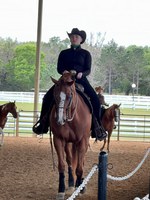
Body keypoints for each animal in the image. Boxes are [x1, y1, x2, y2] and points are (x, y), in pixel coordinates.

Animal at [49, 72, 91, 200]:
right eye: (55, 95)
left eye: (69, 95)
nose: (59, 119)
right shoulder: (58, 140)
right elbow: (62, 165)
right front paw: (61, 190)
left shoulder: (82, 141)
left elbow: (80, 167)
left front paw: (79, 187)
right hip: (68, 143)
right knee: (69, 160)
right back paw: (72, 183)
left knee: (80, 162)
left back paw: (80, 184)